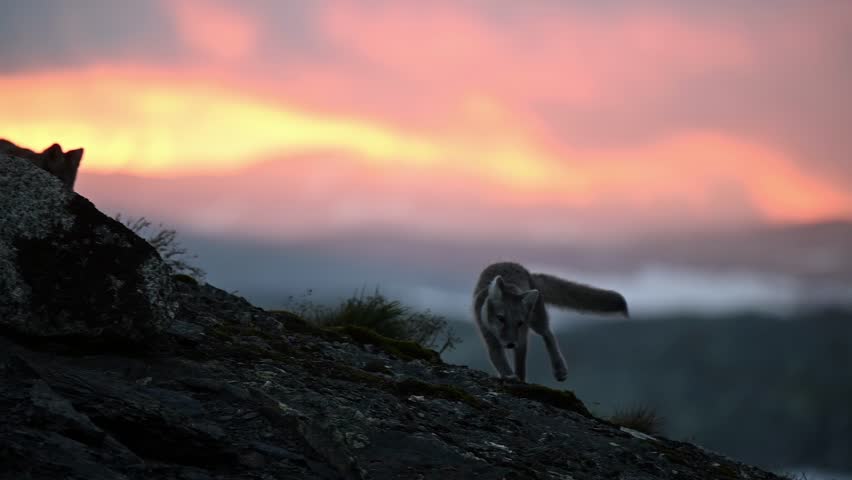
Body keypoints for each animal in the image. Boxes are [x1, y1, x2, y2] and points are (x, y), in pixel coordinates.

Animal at [473, 262, 628, 383]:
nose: (510, 344)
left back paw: (559, 369)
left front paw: (520, 379)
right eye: (501, 318)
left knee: (548, 333)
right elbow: (499, 360)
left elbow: (520, 363)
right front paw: (509, 376)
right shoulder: (488, 335)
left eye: (519, 323)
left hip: (537, 321)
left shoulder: (522, 337)